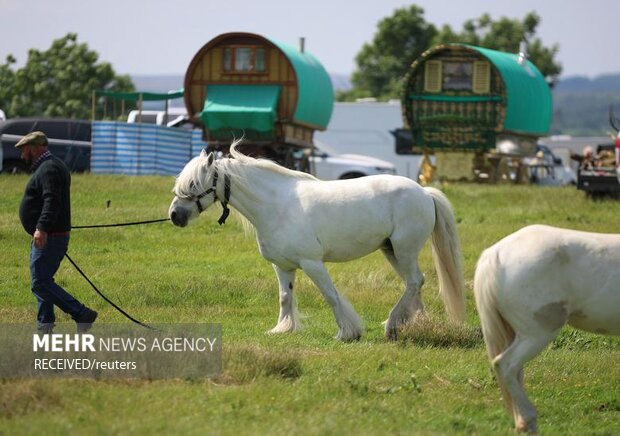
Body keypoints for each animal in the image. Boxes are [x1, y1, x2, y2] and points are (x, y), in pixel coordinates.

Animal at [170, 143, 464, 340]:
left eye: (194, 184)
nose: (174, 216)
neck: (278, 206)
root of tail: (424, 191)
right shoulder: (283, 266)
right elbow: (285, 297)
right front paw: (282, 329)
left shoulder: (312, 263)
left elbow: (331, 295)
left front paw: (347, 332)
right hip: (391, 251)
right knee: (414, 285)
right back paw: (412, 325)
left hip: (404, 250)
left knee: (414, 282)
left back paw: (392, 325)